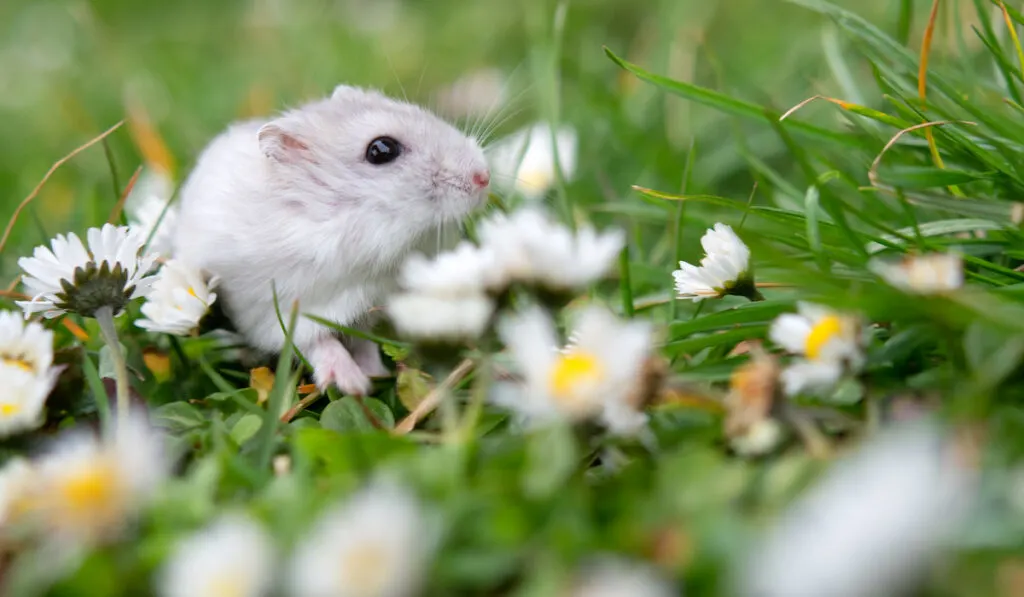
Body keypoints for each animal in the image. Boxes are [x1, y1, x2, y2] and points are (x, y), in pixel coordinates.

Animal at [173, 81, 491, 395]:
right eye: (381, 149)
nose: (484, 177)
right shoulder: (285, 313)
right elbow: (318, 343)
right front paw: (353, 384)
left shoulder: (369, 304)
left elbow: (363, 339)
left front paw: (374, 374)